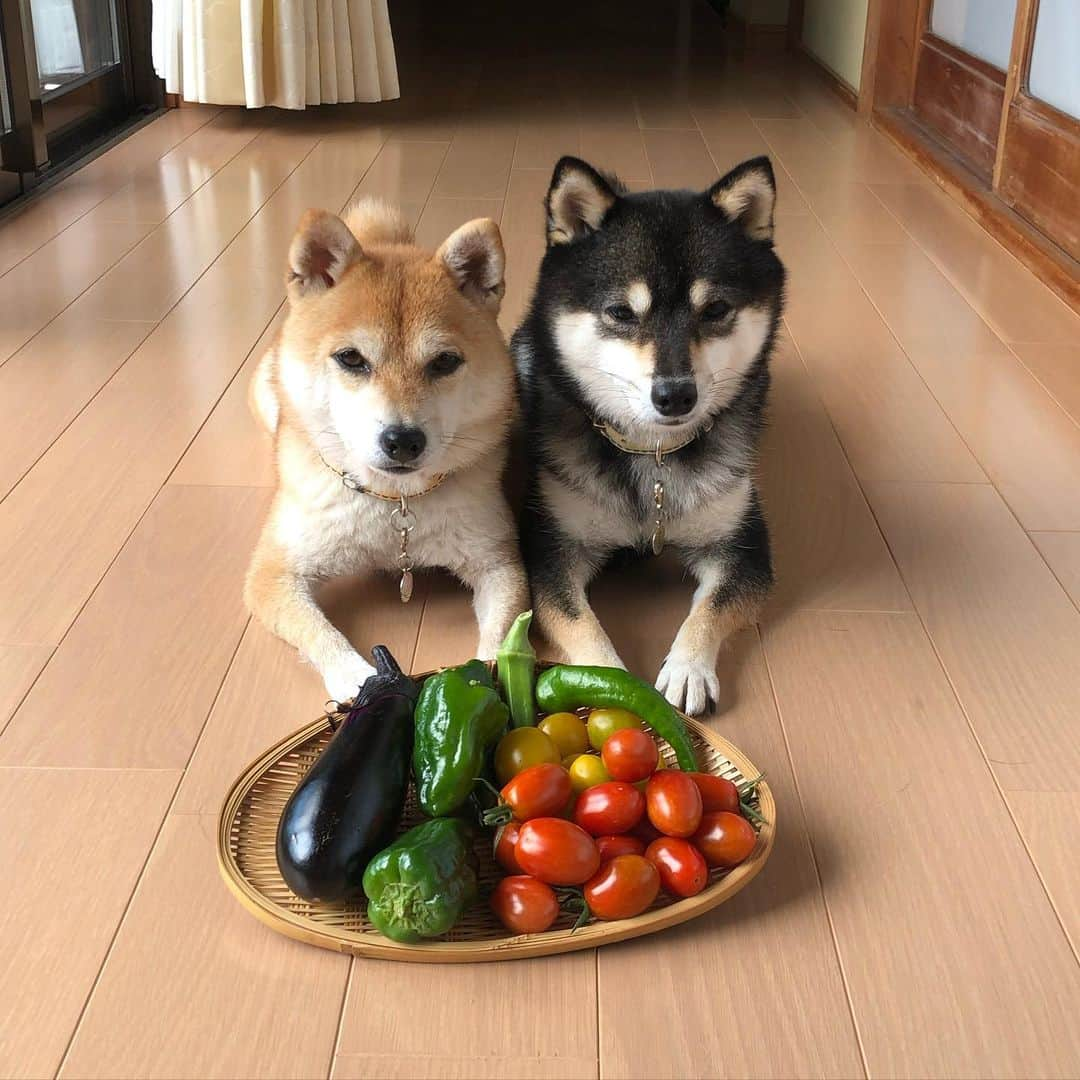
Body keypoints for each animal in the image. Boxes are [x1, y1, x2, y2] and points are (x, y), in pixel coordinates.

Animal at [246, 199, 531, 704]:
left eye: (445, 362)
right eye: (351, 359)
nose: (402, 439)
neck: (393, 505)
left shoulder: (498, 561)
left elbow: (500, 635)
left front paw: (494, 672)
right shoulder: (274, 571)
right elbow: (320, 632)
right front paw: (360, 681)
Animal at [514, 156, 786, 712]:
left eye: (715, 310)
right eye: (621, 312)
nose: (675, 395)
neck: (653, 457)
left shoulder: (743, 544)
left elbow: (712, 607)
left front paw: (688, 668)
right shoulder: (551, 548)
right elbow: (578, 620)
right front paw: (610, 681)